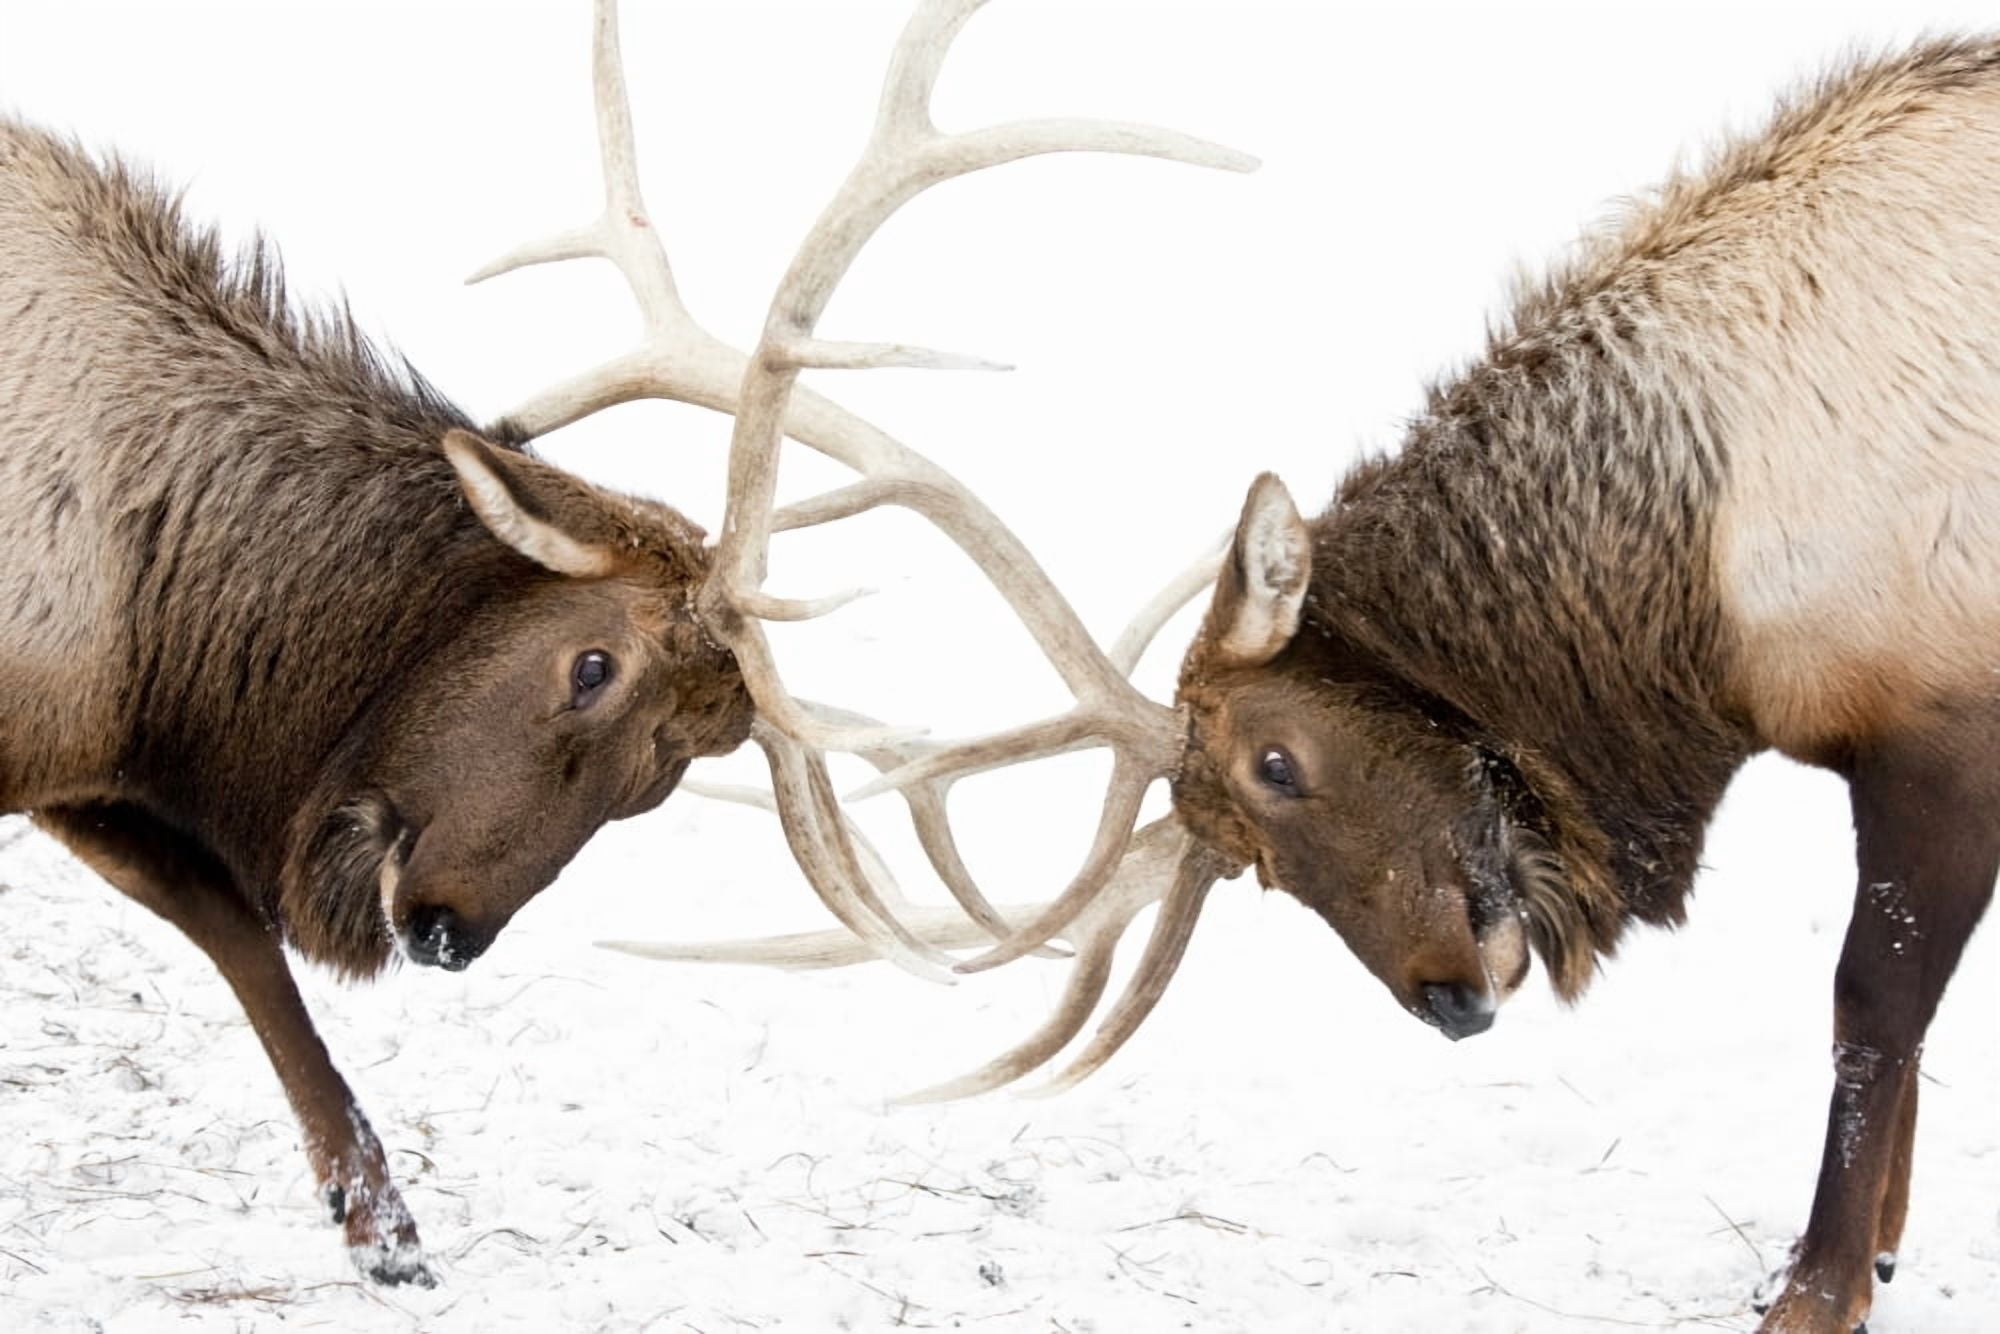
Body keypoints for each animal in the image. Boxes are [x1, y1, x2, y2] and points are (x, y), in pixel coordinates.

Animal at [0, 0, 1252, 1287]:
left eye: (669, 770)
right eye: (589, 665)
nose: (446, 930)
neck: (151, 643)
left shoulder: (85, 767)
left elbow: (231, 926)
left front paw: (384, 1224)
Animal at [616, 28, 2000, 1334]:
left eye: (1275, 758)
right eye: (1252, 858)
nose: (1446, 998)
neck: (1701, 599)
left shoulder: (1938, 727)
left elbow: (1870, 1009)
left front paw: (1816, 1287)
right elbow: (1897, 1024)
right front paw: (1871, 1252)